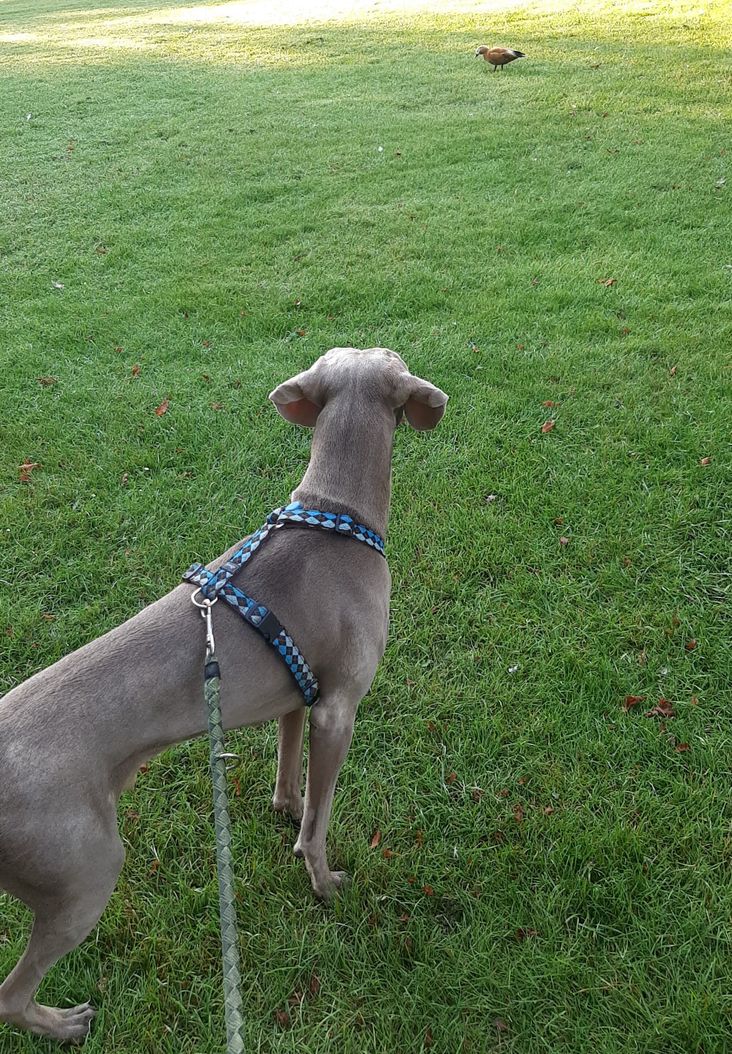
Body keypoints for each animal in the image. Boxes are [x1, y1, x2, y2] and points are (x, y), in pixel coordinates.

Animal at [0, 347, 447, 1045]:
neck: (334, 512)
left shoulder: (297, 697)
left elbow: (291, 779)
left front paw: (287, 809)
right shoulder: (338, 708)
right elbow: (321, 822)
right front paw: (323, 881)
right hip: (84, 872)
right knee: (10, 995)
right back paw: (64, 1024)